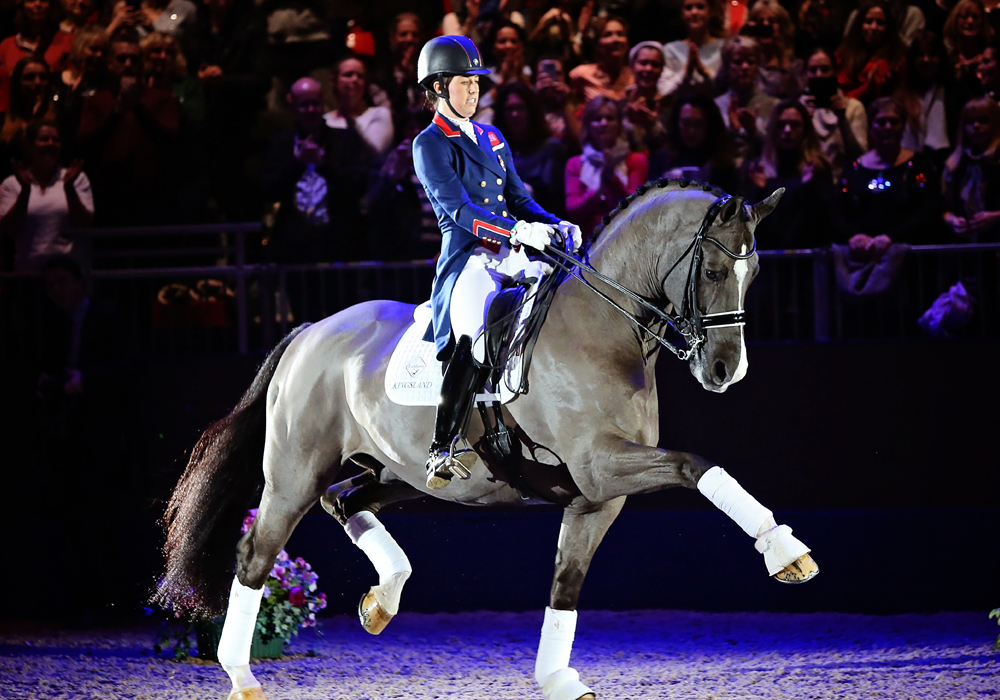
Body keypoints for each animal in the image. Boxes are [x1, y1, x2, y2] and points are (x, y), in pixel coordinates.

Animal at [156, 180, 818, 700]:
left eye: (755, 273)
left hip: (399, 473)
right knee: (257, 554)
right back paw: (242, 676)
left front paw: (558, 679)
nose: (727, 371)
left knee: (344, 500)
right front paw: (785, 552)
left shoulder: (596, 498)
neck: (605, 328)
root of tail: (311, 330)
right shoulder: (600, 466)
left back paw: (383, 599)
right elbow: (696, 465)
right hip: (293, 474)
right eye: (712, 271)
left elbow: (565, 586)